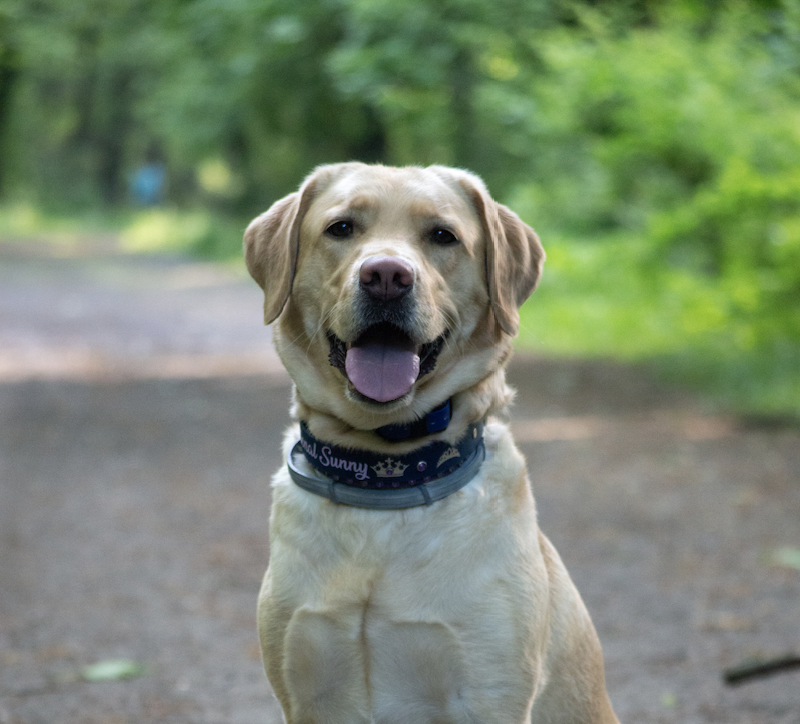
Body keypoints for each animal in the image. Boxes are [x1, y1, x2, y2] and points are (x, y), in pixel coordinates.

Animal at [244, 164, 620, 724]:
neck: (385, 480)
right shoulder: (305, 694)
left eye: (443, 236)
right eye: (341, 228)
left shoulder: (490, 695)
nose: (385, 277)